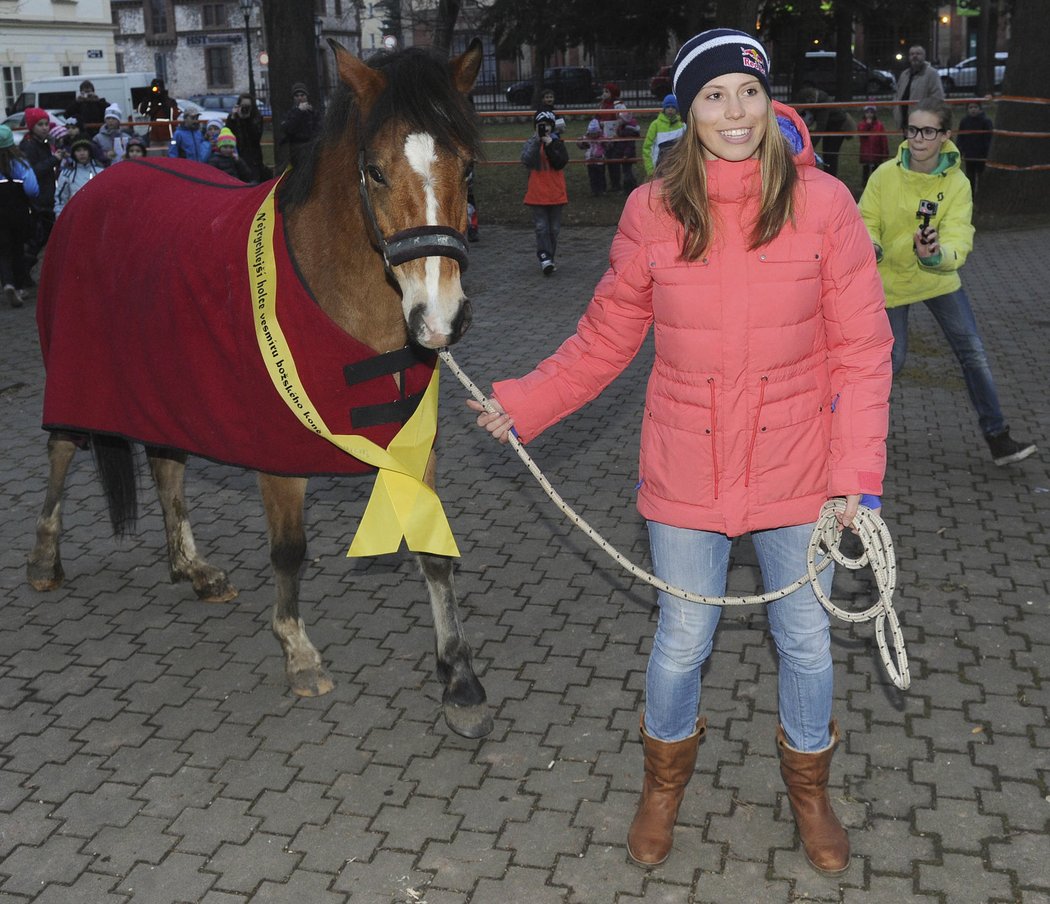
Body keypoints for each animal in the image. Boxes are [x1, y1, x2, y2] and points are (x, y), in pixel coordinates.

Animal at [26, 38, 493, 739]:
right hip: (80, 378)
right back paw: (45, 560)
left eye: (465, 169)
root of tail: (94, 187)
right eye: (376, 171)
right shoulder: (277, 450)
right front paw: (298, 653)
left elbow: (434, 552)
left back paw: (191, 567)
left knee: (166, 464)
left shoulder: (415, 444)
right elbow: (289, 551)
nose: (440, 318)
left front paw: (458, 678)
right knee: (61, 450)